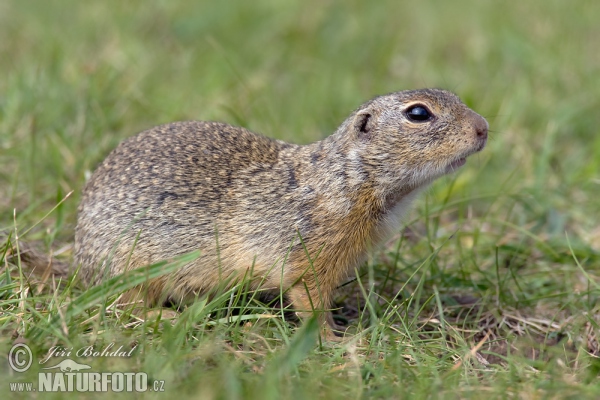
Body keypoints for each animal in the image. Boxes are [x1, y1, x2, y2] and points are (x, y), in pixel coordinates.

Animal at [72, 89, 486, 340]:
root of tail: (81, 260)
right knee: (122, 308)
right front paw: (334, 340)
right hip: (130, 267)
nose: (483, 128)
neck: (349, 177)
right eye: (418, 113)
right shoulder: (308, 254)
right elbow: (310, 301)